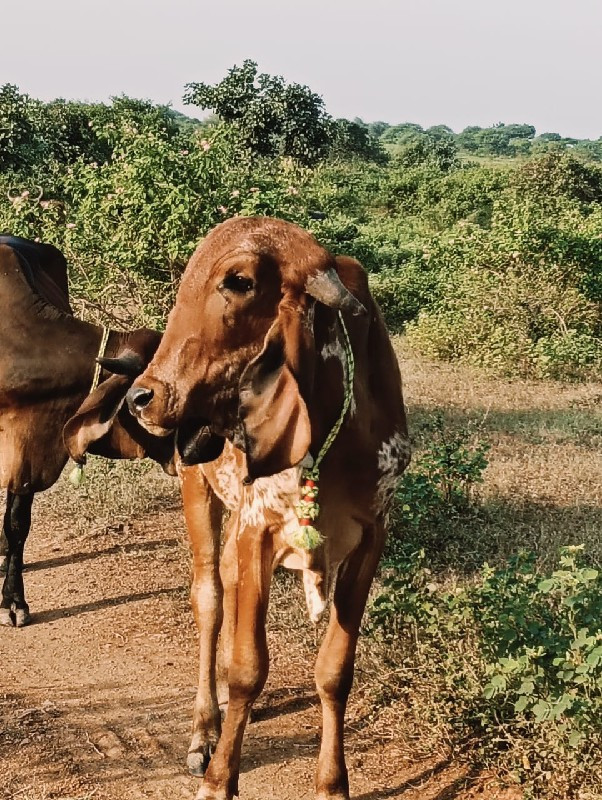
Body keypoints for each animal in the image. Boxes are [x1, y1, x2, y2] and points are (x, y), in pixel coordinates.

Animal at [124, 217, 410, 800]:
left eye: (238, 281)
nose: (143, 397)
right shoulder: (258, 528)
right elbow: (247, 668)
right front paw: (219, 778)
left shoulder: (372, 536)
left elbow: (335, 670)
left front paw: (332, 782)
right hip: (199, 492)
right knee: (210, 596)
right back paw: (206, 727)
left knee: (230, 583)